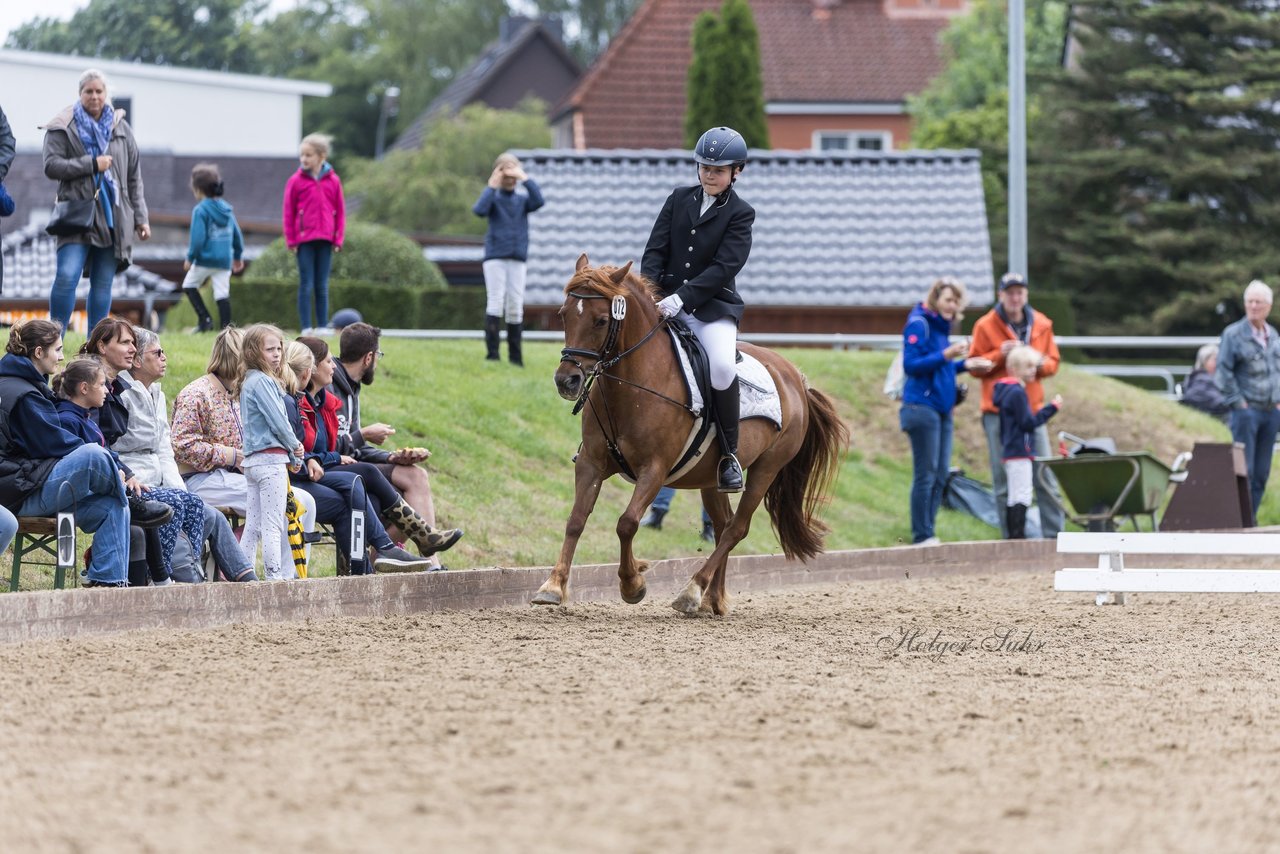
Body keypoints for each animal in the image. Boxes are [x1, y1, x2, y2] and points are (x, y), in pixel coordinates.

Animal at [532, 257, 849, 617]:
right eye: (563, 314)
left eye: (601, 320)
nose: (566, 381)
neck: (633, 385)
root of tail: (796, 378)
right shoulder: (591, 463)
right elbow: (575, 520)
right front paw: (552, 586)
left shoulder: (654, 469)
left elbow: (627, 522)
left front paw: (633, 584)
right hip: (711, 478)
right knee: (723, 524)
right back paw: (713, 599)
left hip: (767, 469)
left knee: (736, 528)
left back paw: (692, 591)